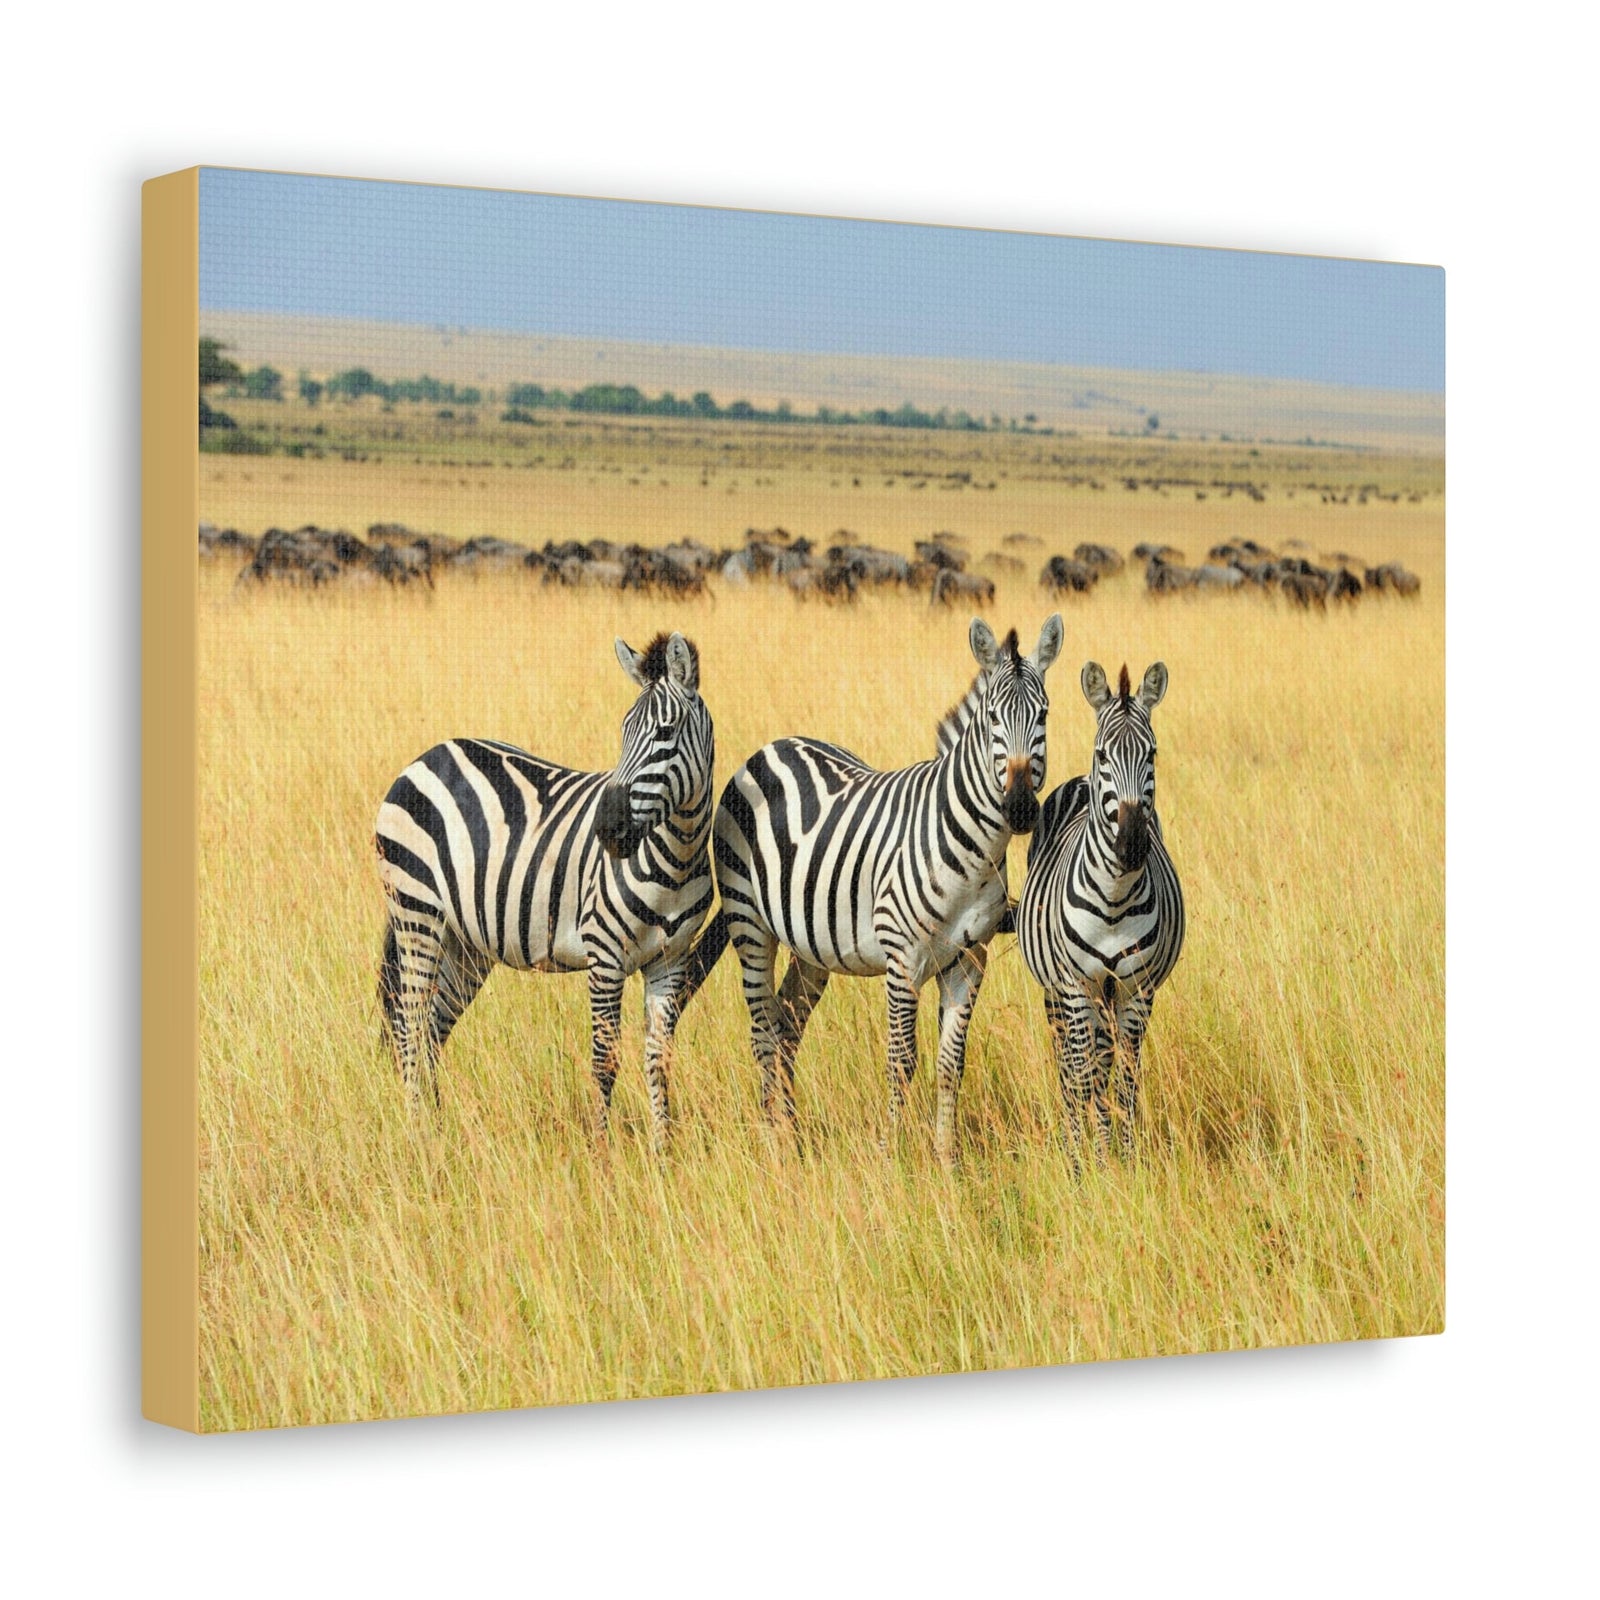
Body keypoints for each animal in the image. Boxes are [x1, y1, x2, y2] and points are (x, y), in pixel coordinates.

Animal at [373, 631, 722, 1147]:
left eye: (666, 732)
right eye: (623, 732)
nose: (609, 830)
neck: (674, 859)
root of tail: (427, 756)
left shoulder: (670, 960)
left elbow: (659, 1060)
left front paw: (663, 1152)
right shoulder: (605, 955)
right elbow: (604, 1061)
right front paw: (601, 1152)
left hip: (466, 942)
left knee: (433, 1028)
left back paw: (438, 1133)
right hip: (417, 913)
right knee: (410, 1026)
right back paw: (418, 1135)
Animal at [709, 614, 1064, 1162]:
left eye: (1044, 715)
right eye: (991, 719)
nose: (1022, 807)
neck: (971, 847)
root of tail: (771, 747)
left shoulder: (970, 961)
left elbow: (951, 1064)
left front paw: (947, 1161)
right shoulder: (902, 960)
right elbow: (901, 1061)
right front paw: (892, 1157)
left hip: (811, 945)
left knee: (787, 1023)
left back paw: (792, 1135)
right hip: (750, 925)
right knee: (763, 1031)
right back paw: (772, 1142)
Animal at [1015, 662, 1184, 1160]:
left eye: (1152, 753)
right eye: (1103, 754)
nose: (1130, 846)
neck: (1114, 897)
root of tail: (1079, 780)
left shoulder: (1137, 990)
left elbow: (1125, 1080)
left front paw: (1124, 1159)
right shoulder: (1076, 987)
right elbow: (1084, 1075)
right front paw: (1089, 1161)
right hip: (1060, 993)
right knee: (1070, 1067)